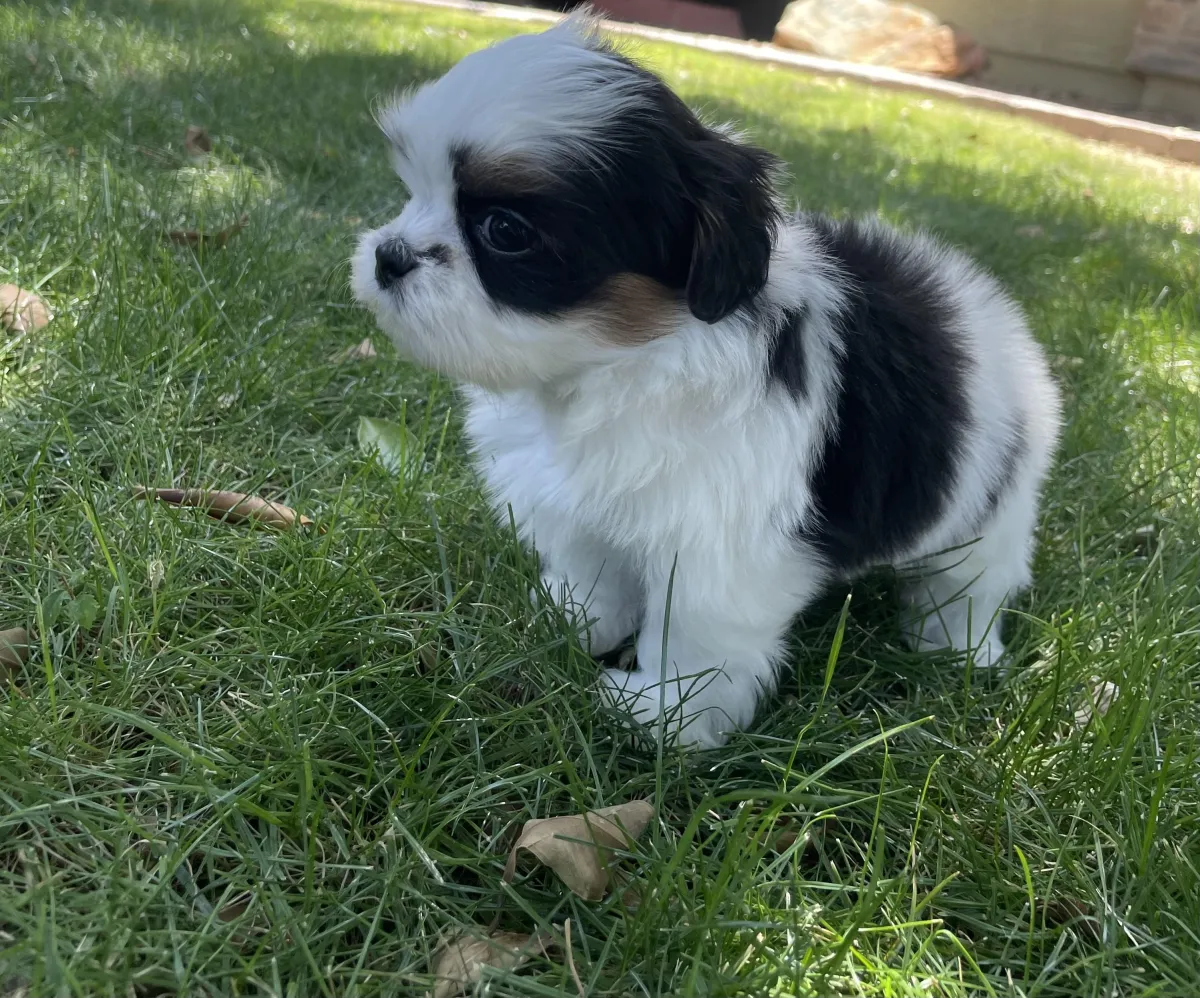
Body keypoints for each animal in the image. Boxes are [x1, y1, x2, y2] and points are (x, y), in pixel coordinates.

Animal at [350, 15, 1065, 748]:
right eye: (414, 192)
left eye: (504, 230)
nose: (389, 256)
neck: (622, 359)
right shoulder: (581, 502)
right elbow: (589, 568)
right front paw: (568, 622)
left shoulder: (717, 543)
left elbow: (697, 632)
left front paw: (664, 714)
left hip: (992, 507)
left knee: (971, 582)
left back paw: (957, 648)